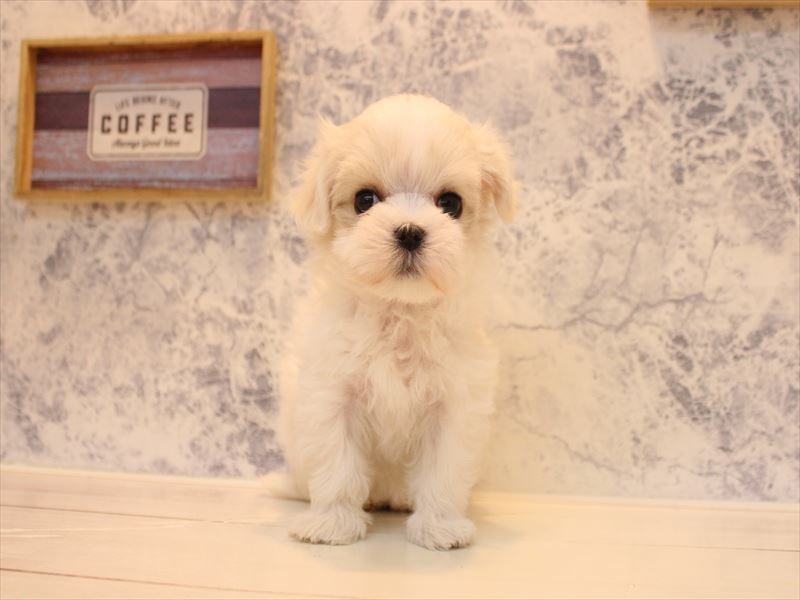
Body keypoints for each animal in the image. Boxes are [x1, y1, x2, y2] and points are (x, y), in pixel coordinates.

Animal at [277, 94, 516, 550]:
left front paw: (441, 528)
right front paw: (332, 525)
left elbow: (443, 472)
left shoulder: (452, 406)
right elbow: (338, 466)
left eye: (451, 203)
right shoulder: (333, 396)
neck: (399, 311)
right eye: (364, 200)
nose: (409, 231)